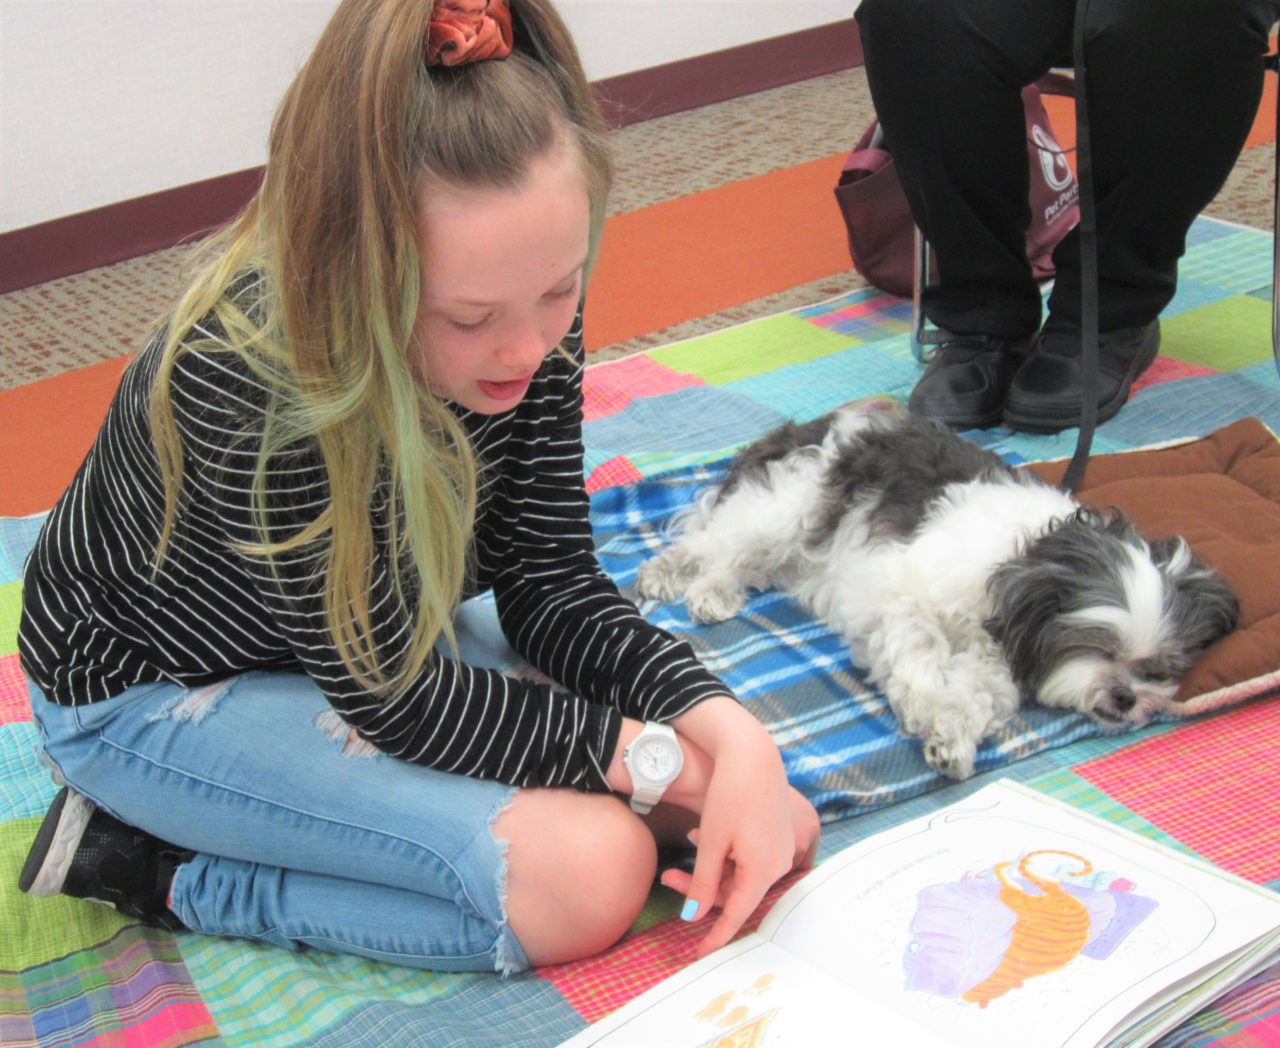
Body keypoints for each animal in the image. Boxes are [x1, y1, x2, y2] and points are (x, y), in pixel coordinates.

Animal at [636, 407, 1239, 779]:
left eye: (1156, 670)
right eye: (1098, 649)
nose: (1125, 697)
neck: (1018, 569)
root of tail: (804, 428)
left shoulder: (996, 662)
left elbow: (979, 698)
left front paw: (952, 737)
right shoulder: (898, 597)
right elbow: (921, 652)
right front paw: (927, 704)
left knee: (744, 561)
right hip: (784, 510)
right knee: (715, 546)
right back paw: (681, 580)